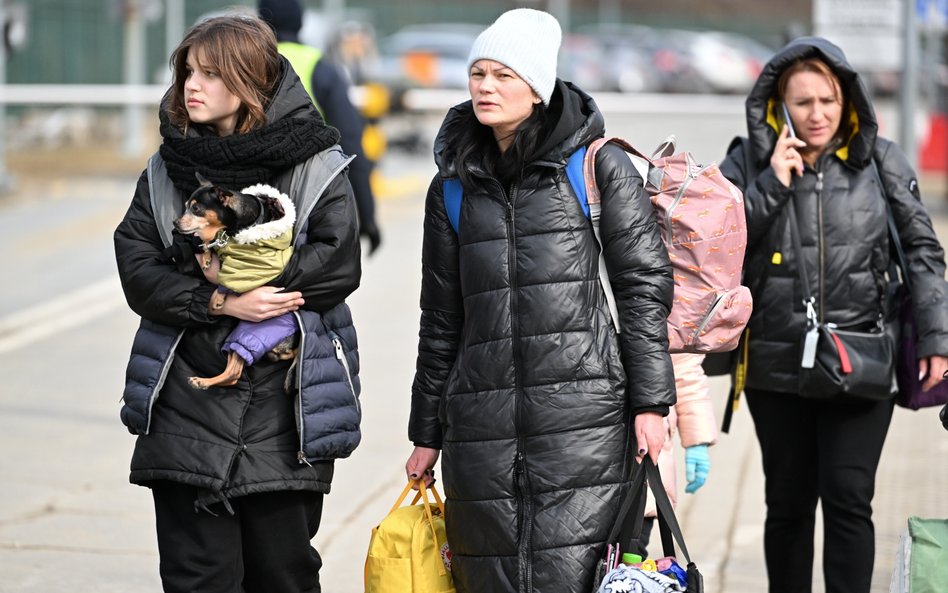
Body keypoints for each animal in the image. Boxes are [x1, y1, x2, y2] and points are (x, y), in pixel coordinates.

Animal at [173, 173, 296, 390]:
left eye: (196, 209)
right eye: (186, 205)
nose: (175, 223)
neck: (228, 230)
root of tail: (288, 346)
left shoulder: (252, 263)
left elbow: (231, 278)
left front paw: (219, 297)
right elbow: (209, 242)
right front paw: (206, 254)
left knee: (233, 374)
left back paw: (202, 381)